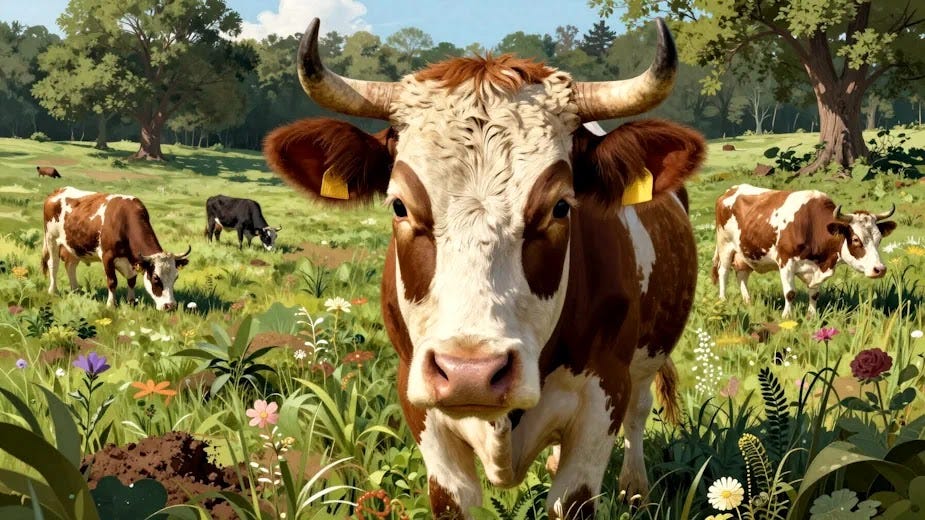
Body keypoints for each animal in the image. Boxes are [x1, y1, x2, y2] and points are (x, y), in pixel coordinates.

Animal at [42, 187, 191, 311]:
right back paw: (53, 291)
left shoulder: (133, 261)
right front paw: (111, 304)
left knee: (70, 265)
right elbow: (112, 281)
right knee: (53, 264)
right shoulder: (107, 256)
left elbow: (131, 281)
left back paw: (76, 290)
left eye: (176, 277)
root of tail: (58, 191)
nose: (170, 306)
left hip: (73, 246)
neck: (124, 221)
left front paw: (131, 301)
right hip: (51, 238)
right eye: (155, 278)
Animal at [263, 17, 704, 519]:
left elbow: (573, 494)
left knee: (638, 414)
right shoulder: (419, 402)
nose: (469, 372)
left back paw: (635, 489)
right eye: (399, 205)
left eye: (561, 207)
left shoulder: (603, 395)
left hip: (645, 363)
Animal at [713, 184, 896, 317]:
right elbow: (790, 293)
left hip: (745, 252)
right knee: (724, 272)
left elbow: (814, 294)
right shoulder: (785, 262)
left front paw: (812, 316)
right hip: (725, 245)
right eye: (856, 240)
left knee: (742, 274)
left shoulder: (816, 268)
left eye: (879, 239)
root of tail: (730, 190)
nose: (880, 269)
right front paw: (787, 316)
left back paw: (748, 301)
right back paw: (722, 300)